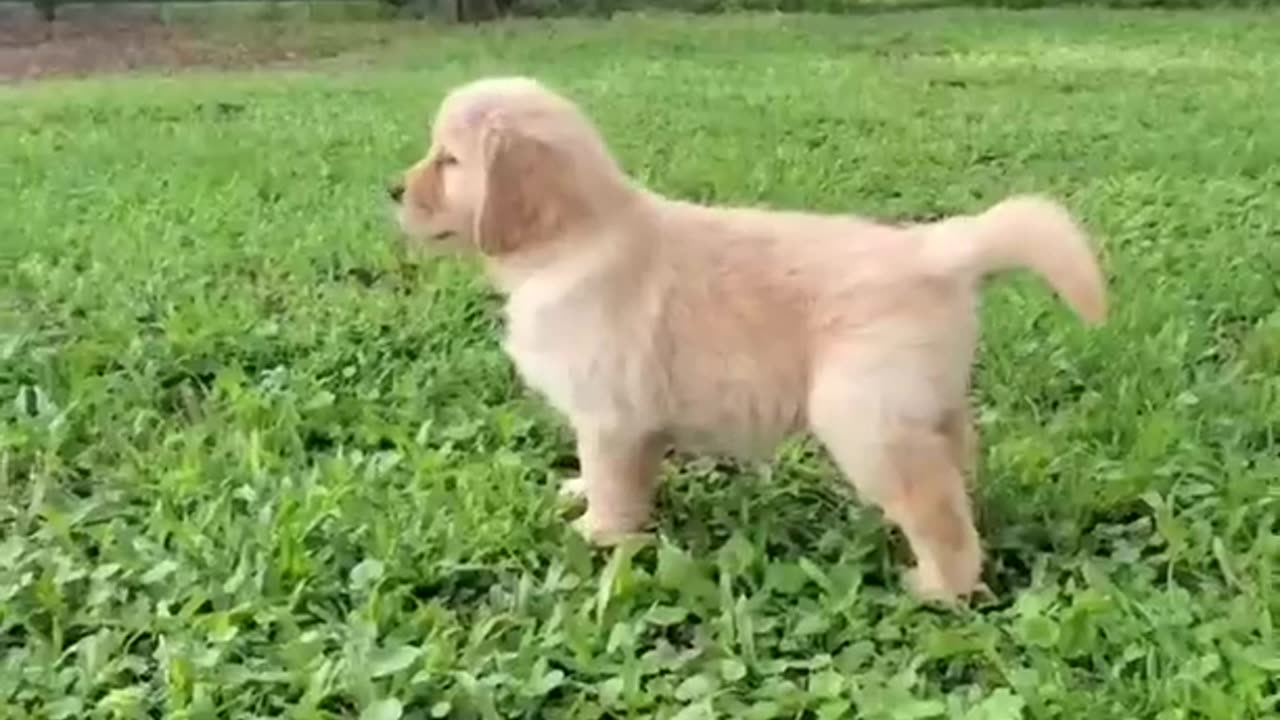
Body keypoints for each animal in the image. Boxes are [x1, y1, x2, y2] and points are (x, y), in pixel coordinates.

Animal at [386, 75, 1100, 599]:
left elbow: (612, 481)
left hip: (863, 416)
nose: (391, 189)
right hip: (926, 399)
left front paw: (597, 534)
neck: (573, 242)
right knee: (957, 467)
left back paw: (940, 587)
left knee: (936, 505)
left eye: (449, 160)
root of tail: (936, 250)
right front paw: (582, 496)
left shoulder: (611, 416)